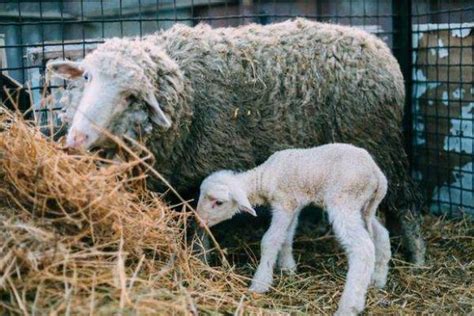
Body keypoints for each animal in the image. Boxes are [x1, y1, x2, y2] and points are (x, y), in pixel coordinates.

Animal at [47, 18, 426, 262]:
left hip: (381, 144)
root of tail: (377, 44)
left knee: (406, 203)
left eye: (131, 97)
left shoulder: (210, 163)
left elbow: (202, 219)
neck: (187, 90)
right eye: (86, 76)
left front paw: (200, 260)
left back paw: (418, 256)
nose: (77, 139)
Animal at [195, 144, 388, 316]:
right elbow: (286, 236)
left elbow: (270, 240)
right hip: (363, 207)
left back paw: (349, 307)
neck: (264, 177)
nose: (198, 220)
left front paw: (260, 283)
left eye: (218, 202)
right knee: (382, 234)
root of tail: (377, 175)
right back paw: (378, 279)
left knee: (363, 248)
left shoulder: (284, 204)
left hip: (344, 199)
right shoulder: (293, 205)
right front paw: (288, 267)